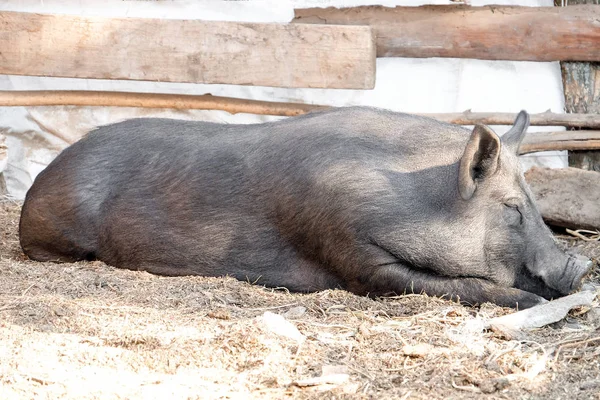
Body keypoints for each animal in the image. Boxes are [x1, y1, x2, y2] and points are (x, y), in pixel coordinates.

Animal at [18, 107, 592, 310]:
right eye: (513, 208)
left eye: (534, 201)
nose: (580, 267)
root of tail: (47, 171)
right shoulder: (351, 251)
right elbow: (458, 285)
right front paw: (527, 302)